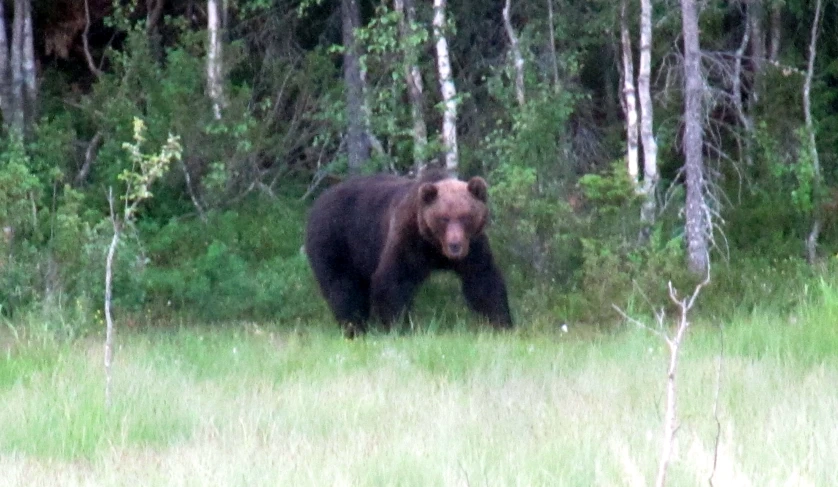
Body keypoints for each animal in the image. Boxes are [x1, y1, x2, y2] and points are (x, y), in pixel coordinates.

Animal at [304, 170, 512, 338]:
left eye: (465, 217)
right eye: (444, 218)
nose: (455, 245)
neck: (435, 247)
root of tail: (321, 198)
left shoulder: (473, 247)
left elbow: (483, 280)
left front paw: (502, 323)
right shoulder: (408, 239)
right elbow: (394, 280)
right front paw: (398, 327)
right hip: (334, 239)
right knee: (342, 286)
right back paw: (354, 327)